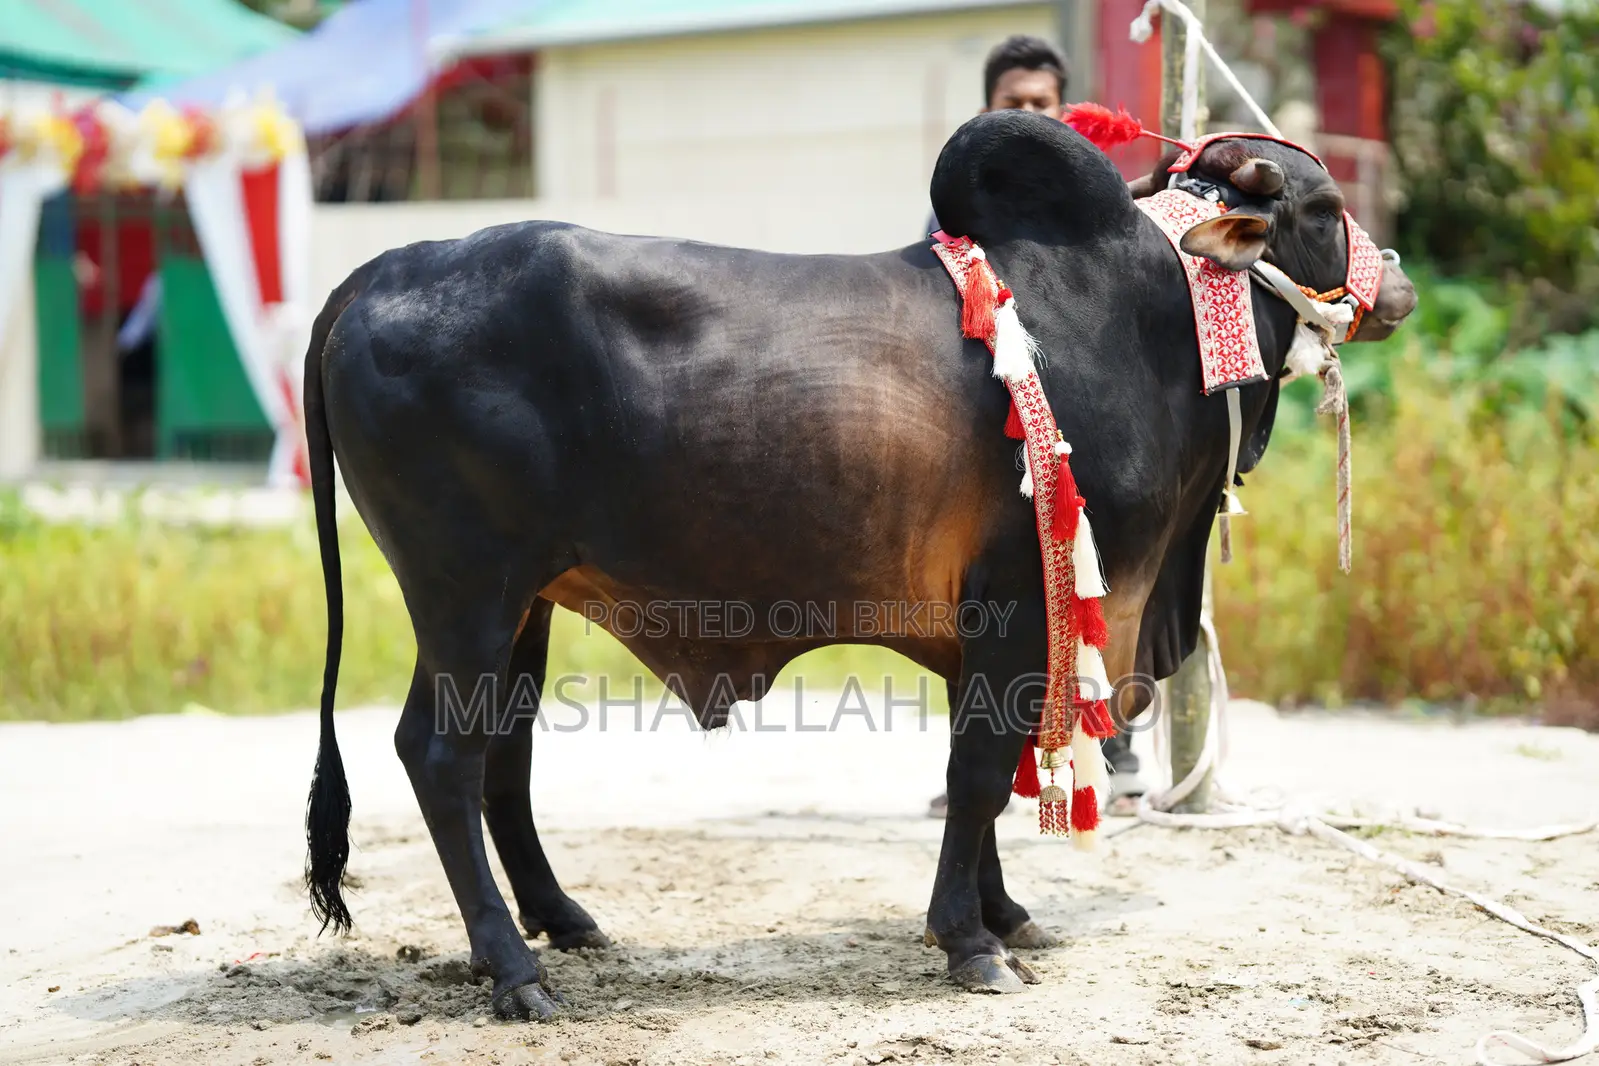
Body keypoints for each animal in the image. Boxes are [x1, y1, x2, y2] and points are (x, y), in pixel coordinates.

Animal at [298, 108, 1417, 1019]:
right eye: (1323, 205)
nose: (1401, 278)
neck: (1145, 319)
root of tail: (381, 272)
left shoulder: (985, 630)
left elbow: (986, 777)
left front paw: (1003, 914)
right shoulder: (1020, 605)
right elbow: (977, 773)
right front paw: (968, 942)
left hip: (523, 602)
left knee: (506, 752)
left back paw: (559, 923)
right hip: (467, 592)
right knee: (441, 756)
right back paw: (516, 972)